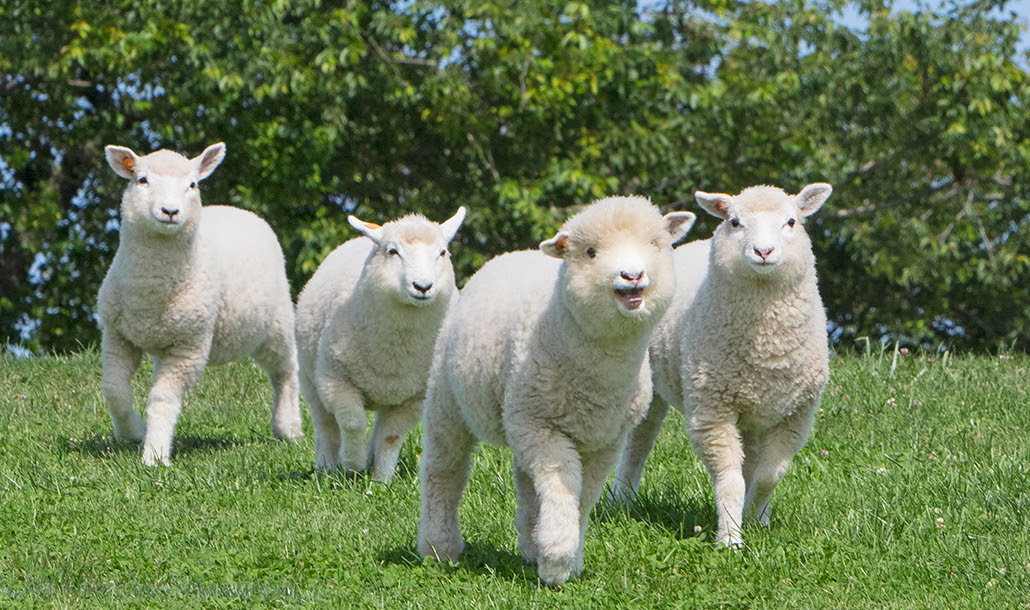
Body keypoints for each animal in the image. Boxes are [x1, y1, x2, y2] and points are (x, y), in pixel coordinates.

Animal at [96, 144, 302, 467]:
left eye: (192, 185)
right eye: (142, 180)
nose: (170, 211)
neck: (150, 293)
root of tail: (238, 210)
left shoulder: (188, 348)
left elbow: (162, 399)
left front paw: (155, 454)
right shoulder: (118, 336)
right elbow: (114, 391)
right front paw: (134, 432)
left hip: (275, 322)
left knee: (286, 370)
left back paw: (288, 426)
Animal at [294, 208, 463, 482]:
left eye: (442, 253)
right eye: (393, 251)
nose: (423, 287)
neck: (394, 350)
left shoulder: (414, 397)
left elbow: (390, 436)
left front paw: (381, 480)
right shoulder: (336, 381)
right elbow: (352, 423)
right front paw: (353, 464)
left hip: (390, 393)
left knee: (377, 428)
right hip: (311, 379)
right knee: (326, 425)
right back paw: (327, 467)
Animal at [414, 195, 696, 585]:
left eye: (655, 244)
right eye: (591, 252)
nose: (632, 276)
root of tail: (508, 255)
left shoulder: (606, 439)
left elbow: (584, 495)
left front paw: (566, 556)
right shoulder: (543, 429)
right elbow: (564, 484)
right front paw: (558, 559)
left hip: (517, 418)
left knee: (525, 483)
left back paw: (530, 545)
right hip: (450, 400)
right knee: (443, 470)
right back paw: (439, 547)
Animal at [605, 181, 832, 548]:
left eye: (791, 222)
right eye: (735, 222)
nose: (764, 251)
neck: (767, 343)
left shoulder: (795, 415)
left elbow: (769, 475)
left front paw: (753, 515)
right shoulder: (713, 412)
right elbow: (730, 479)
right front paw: (730, 540)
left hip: (755, 410)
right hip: (652, 387)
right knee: (638, 445)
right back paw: (620, 500)